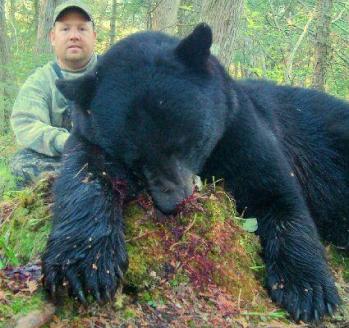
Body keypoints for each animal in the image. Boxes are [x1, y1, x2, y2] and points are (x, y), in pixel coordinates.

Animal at [41, 23, 348, 322]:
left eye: (186, 143)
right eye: (135, 161)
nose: (173, 203)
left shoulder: (241, 129)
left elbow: (277, 196)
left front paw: (308, 290)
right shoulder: (88, 133)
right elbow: (84, 171)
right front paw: (82, 265)